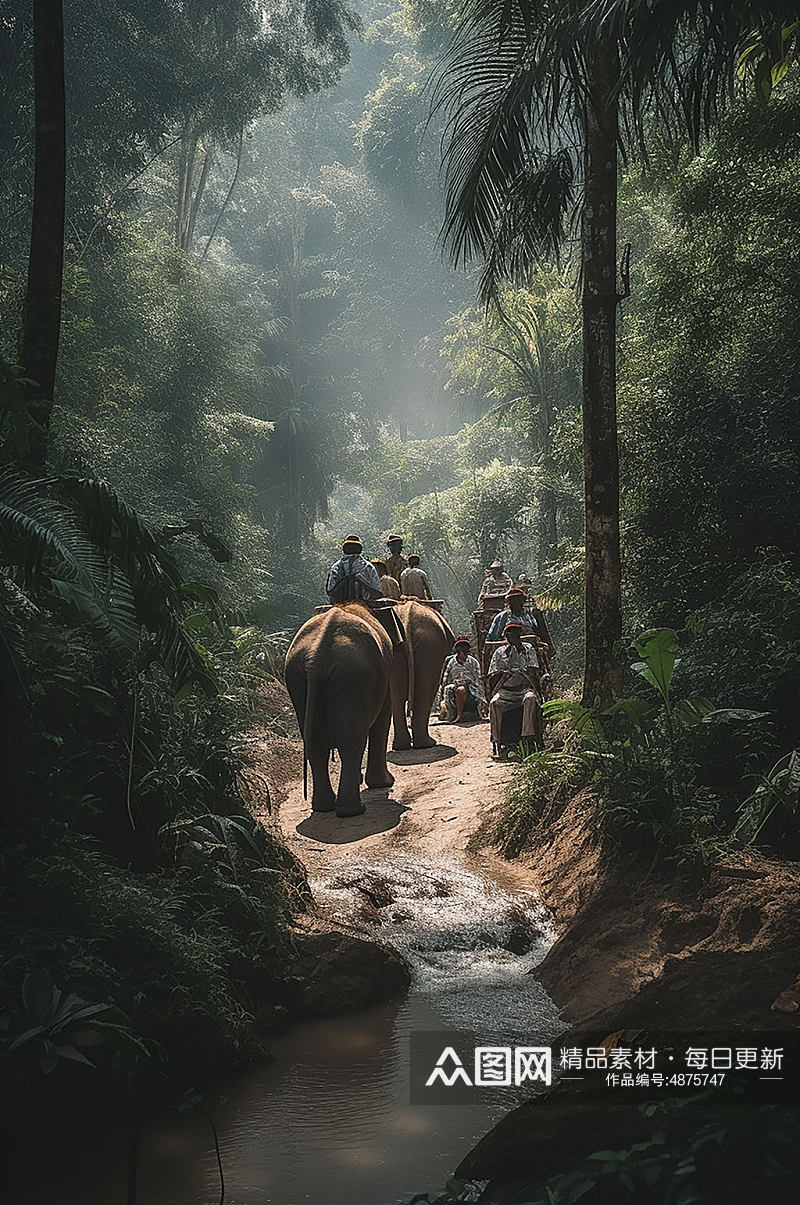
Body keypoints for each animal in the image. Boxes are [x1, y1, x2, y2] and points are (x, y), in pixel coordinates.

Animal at [285, 602, 395, 819]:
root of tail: (316, 657)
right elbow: (383, 718)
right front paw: (385, 783)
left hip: (299, 678)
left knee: (315, 743)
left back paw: (324, 807)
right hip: (353, 676)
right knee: (351, 741)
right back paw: (353, 811)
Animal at [392, 600, 455, 747]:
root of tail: (406, 620)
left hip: (398, 649)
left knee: (397, 695)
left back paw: (402, 746)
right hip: (431, 646)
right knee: (426, 690)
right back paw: (427, 743)